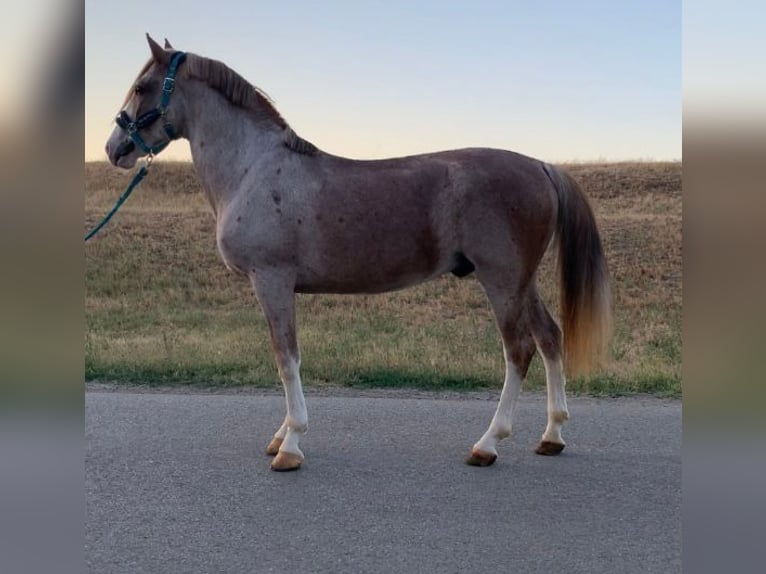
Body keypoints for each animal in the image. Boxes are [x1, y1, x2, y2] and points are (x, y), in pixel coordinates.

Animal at [106, 36, 612, 474]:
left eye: (142, 86)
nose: (114, 149)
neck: (254, 169)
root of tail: (541, 166)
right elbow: (287, 360)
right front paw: (282, 435)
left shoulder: (272, 281)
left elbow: (286, 359)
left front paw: (291, 444)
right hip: (523, 282)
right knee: (549, 338)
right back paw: (552, 435)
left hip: (502, 280)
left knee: (518, 350)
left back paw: (488, 443)